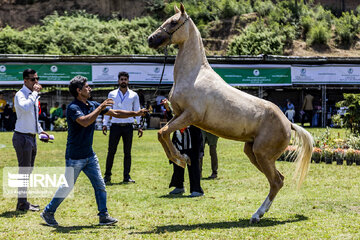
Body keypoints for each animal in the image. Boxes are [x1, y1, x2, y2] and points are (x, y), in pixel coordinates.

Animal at [148, 3, 314, 223]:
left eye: (174, 22)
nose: (151, 39)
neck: (194, 75)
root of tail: (289, 124)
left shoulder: (190, 116)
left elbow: (162, 133)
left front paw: (181, 159)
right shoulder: (178, 115)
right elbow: (163, 133)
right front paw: (181, 158)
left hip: (262, 154)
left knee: (276, 181)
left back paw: (256, 215)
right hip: (253, 153)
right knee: (278, 180)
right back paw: (260, 213)